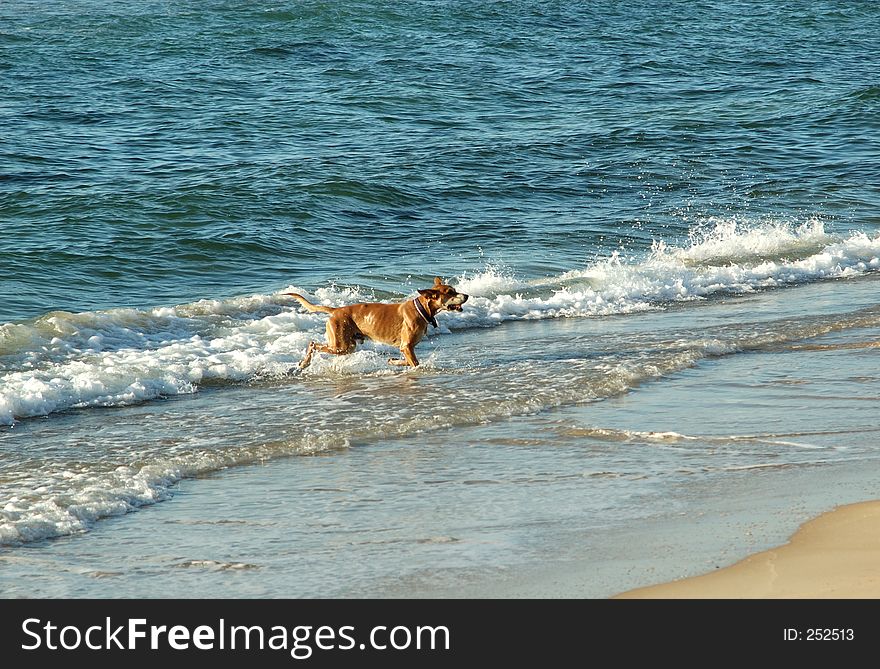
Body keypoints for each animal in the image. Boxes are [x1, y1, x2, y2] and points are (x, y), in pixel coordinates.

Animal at [288, 276, 468, 370]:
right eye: (450, 292)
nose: (466, 295)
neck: (421, 309)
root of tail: (335, 310)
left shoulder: (405, 348)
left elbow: (407, 361)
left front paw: (394, 361)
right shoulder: (407, 346)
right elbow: (415, 363)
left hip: (348, 346)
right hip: (341, 345)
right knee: (312, 344)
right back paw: (305, 363)